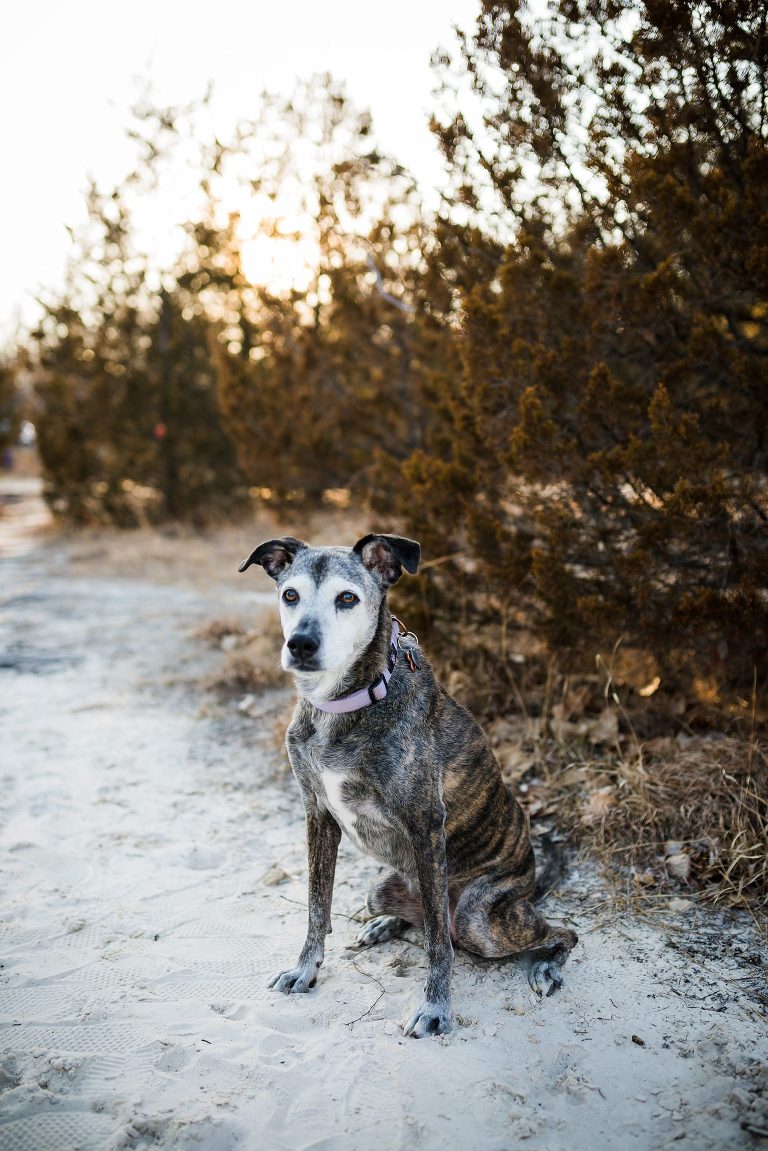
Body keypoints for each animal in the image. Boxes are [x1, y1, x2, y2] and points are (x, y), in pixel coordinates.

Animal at [238, 534, 575, 1040]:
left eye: (347, 598)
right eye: (290, 595)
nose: (300, 644)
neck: (342, 704)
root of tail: (531, 884)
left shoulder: (424, 827)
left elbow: (437, 941)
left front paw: (435, 1008)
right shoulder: (317, 814)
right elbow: (317, 906)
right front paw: (305, 969)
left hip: (480, 919)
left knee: (551, 932)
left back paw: (547, 965)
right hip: (380, 887)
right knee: (414, 916)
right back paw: (384, 924)